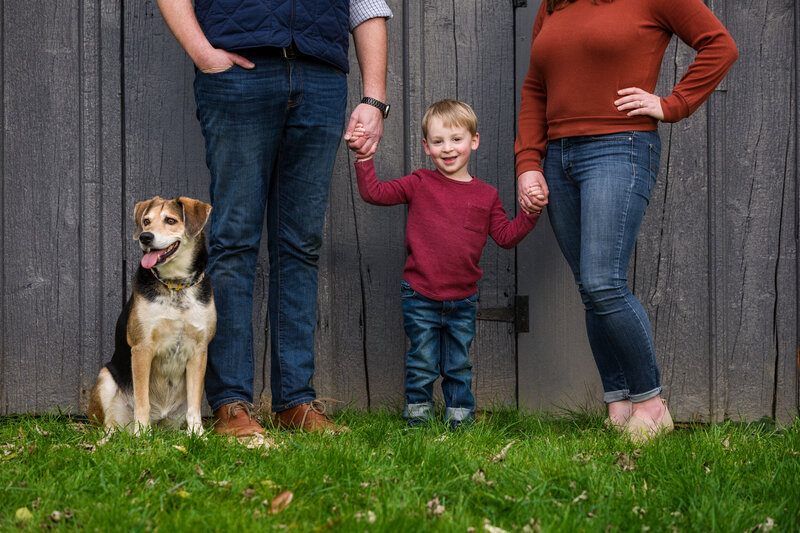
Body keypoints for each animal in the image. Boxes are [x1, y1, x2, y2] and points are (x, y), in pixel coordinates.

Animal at [88, 195, 216, 432]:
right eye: (146, 221)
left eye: (171, 220)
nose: (145, 237)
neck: (175, 286)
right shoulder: (142, 347)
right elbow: (142, 401)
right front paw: (141, 435)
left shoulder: (199, 350)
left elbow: (194, 405)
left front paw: (197, 434)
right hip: (106, 379)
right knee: (109, 425)